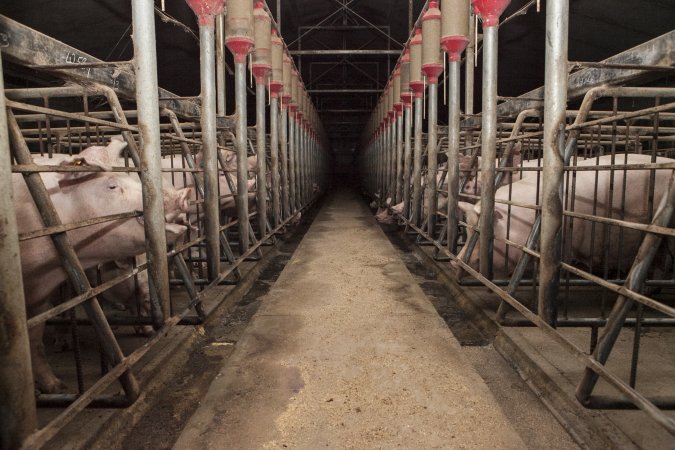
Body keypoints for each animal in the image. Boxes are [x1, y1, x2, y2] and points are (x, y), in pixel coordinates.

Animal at [15, 141, 190, 394]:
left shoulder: (41, 292)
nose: (184, 193)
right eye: (112, 186)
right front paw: (57, 381)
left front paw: (55, 387)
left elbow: (35, 338)